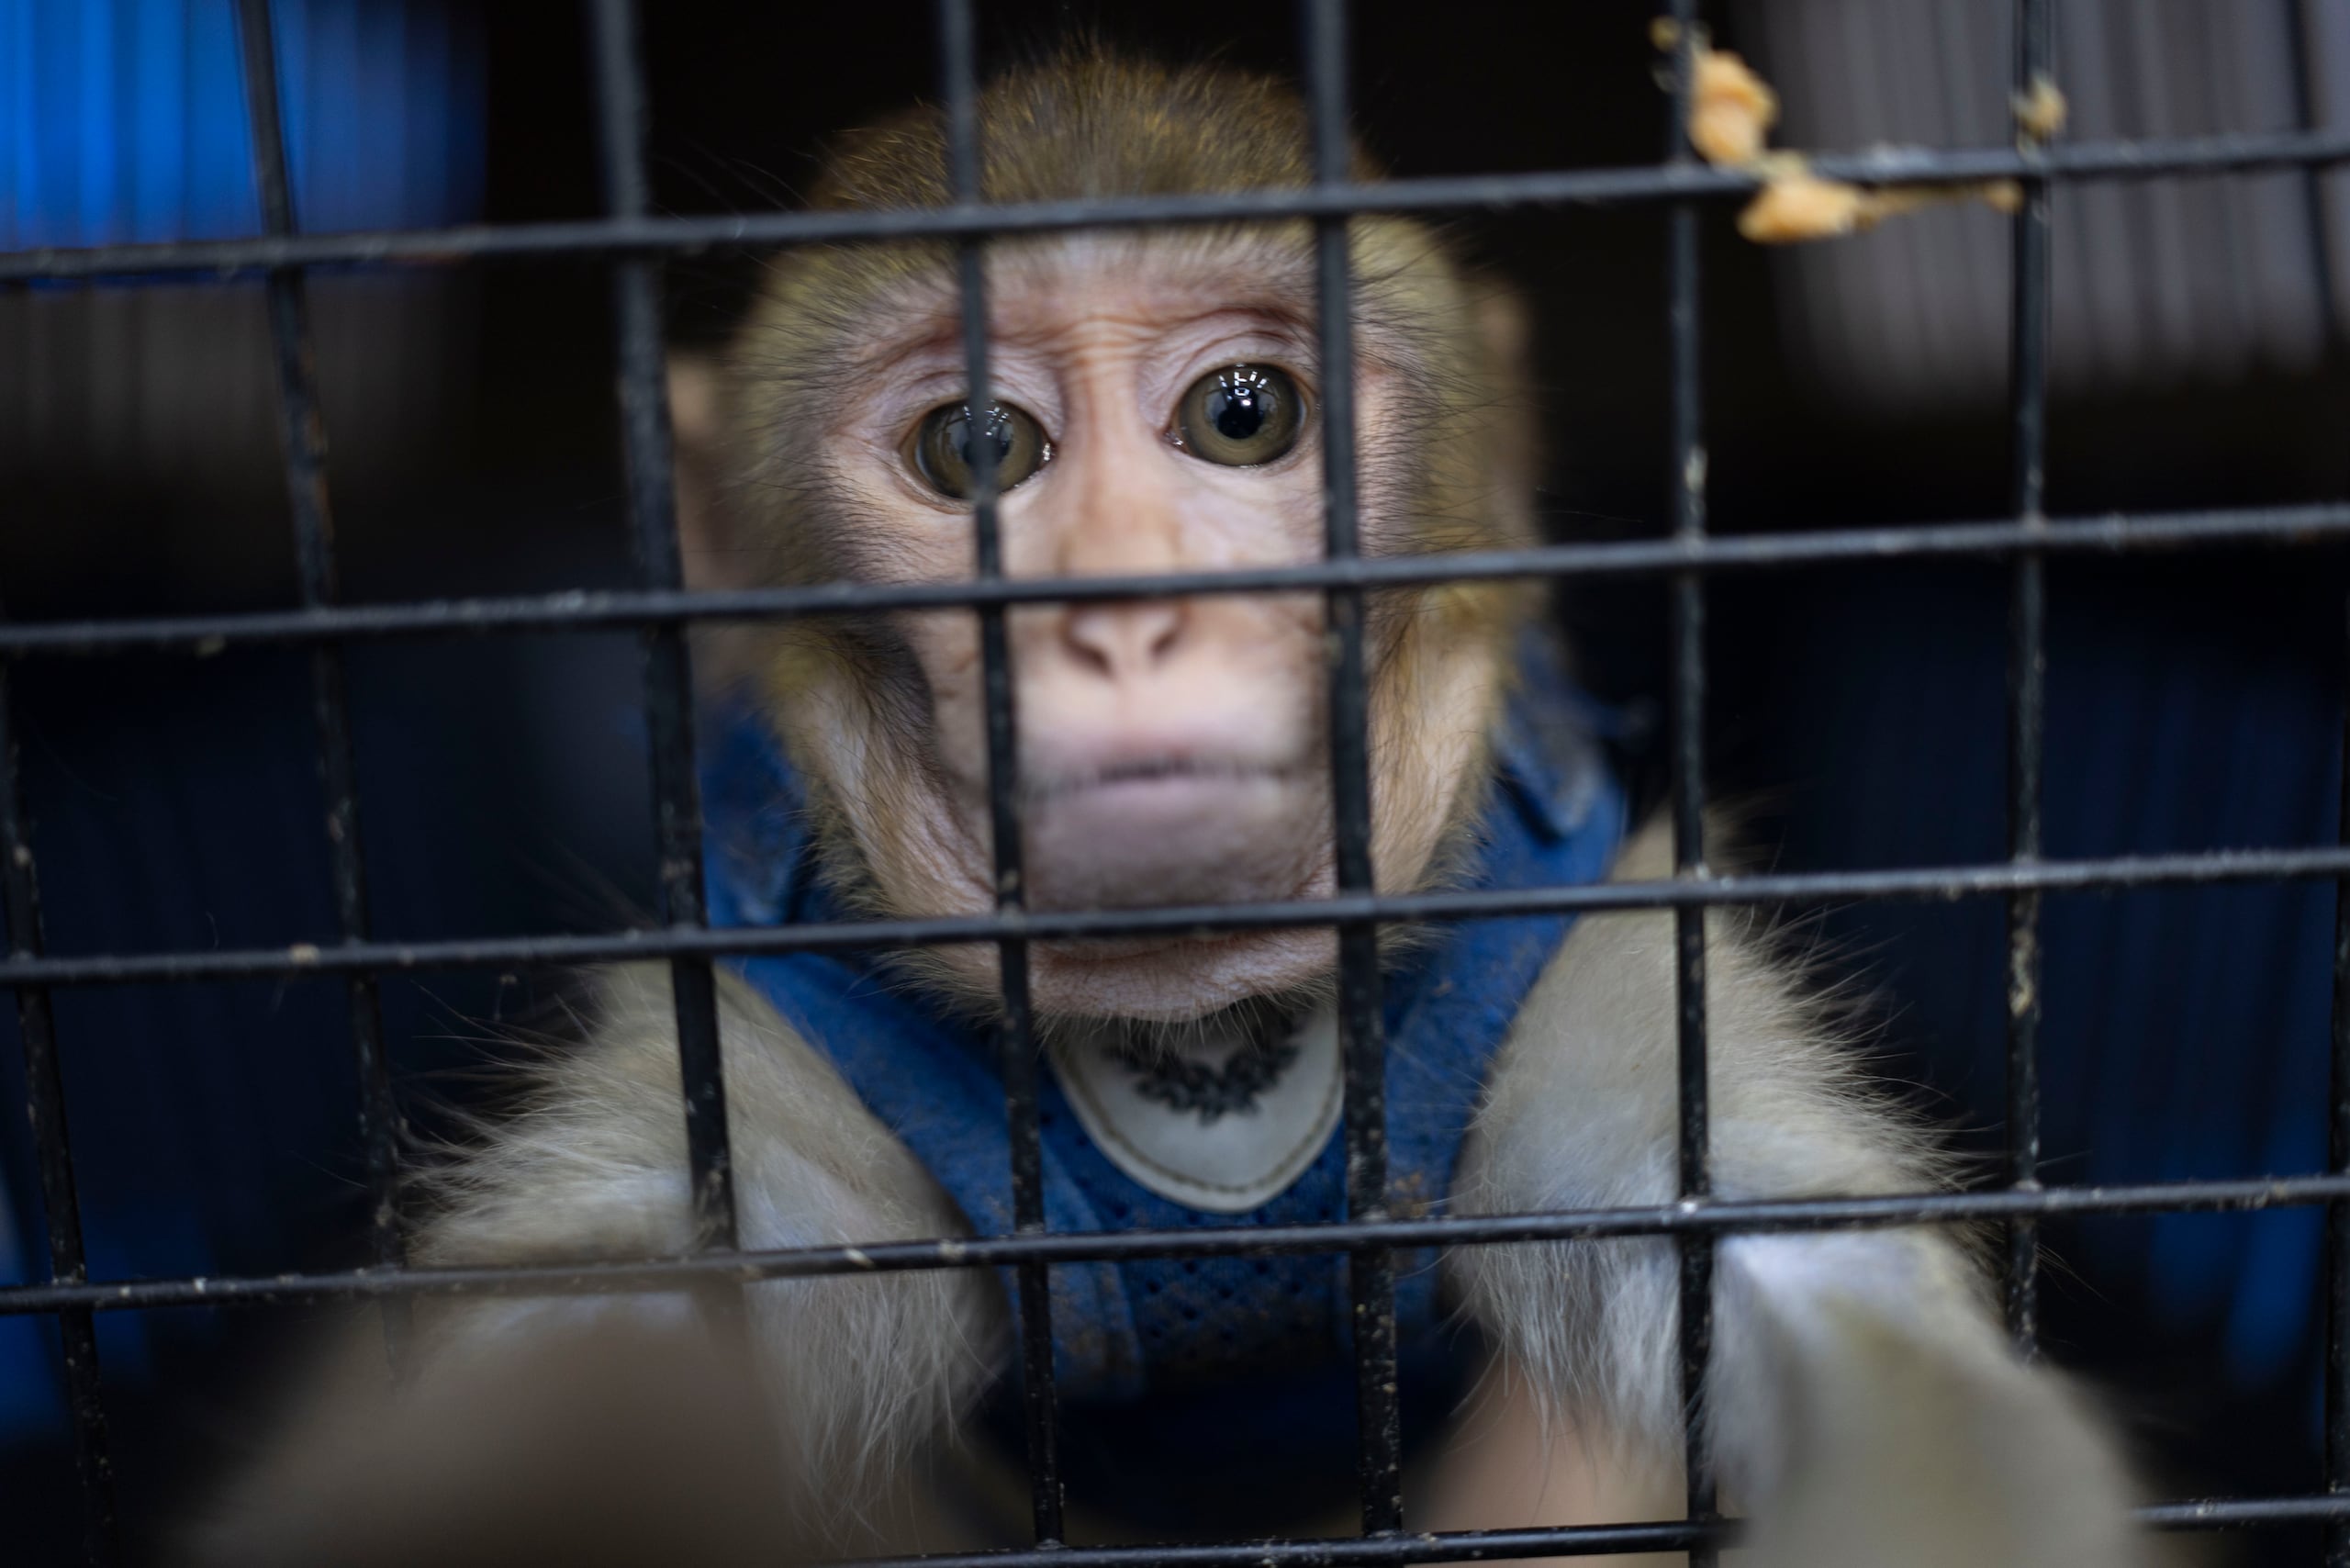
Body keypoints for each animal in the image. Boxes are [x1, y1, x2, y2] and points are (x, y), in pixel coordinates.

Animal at [192, 47, 2148, 1568]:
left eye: (1243, 413)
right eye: (977, 449)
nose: (1121, 606)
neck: (1200, 1026)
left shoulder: (1572, 947)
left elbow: (1816, 1283)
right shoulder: (775, 1047)